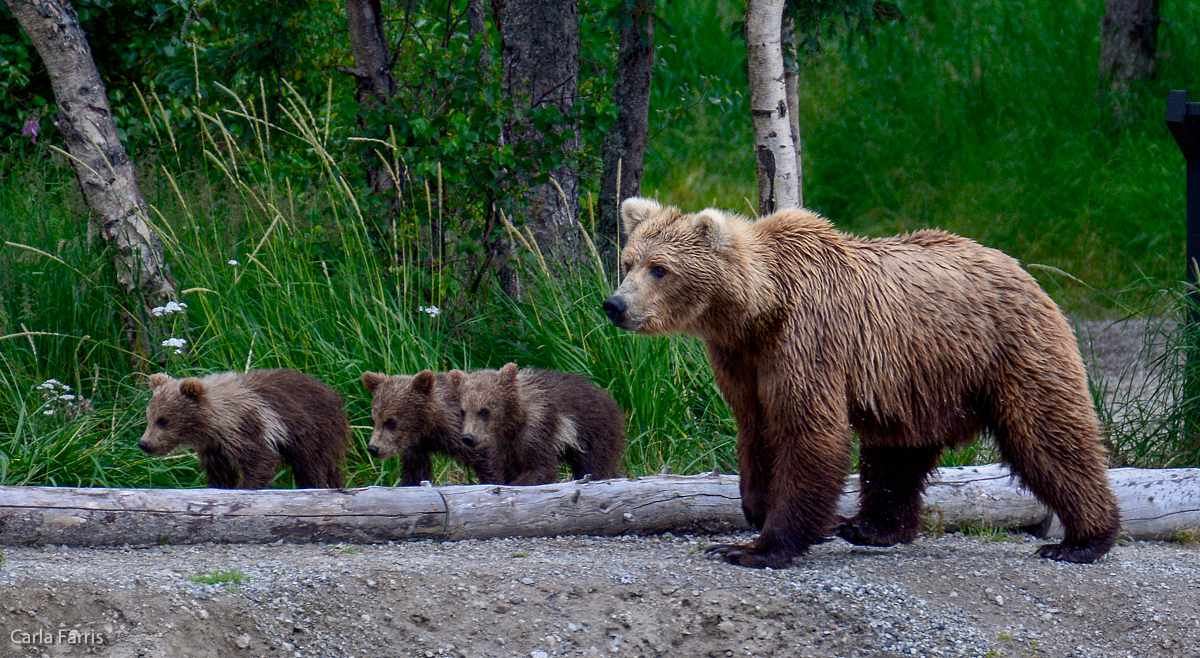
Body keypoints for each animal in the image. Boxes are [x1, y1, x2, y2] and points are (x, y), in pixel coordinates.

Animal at [604, 198, 1118, 569]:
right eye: (628, 262)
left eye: (660, 268)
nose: (615, 305)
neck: (757, 311)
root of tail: (1023, 269)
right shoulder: (743, 361)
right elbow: (757, 429)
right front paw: (757, 506)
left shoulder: (807, 341)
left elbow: (809, 434)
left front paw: (755, 547)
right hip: (917, 378)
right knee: (897, 453)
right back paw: (873, 527)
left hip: (1007, 350)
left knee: (1047, 435)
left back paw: (1082, 539)